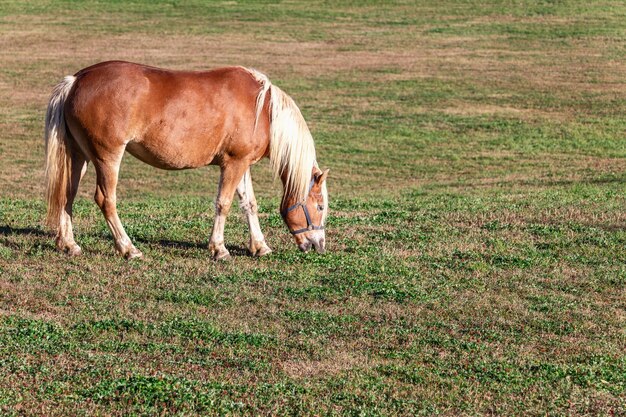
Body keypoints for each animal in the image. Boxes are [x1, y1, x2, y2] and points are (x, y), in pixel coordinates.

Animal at [43, 60, 326, 258]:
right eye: (321, 206)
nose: (318, 245)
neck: (263, 110)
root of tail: (76, 80)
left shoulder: (242, 164)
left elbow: (249, 204)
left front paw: (259, 246)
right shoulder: (233, 164)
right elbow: (223, 204)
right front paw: (219, 248)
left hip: (78, 156)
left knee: (66, 195)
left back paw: (68, 244)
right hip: (107, 156)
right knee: (105, 199)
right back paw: (128, 248)